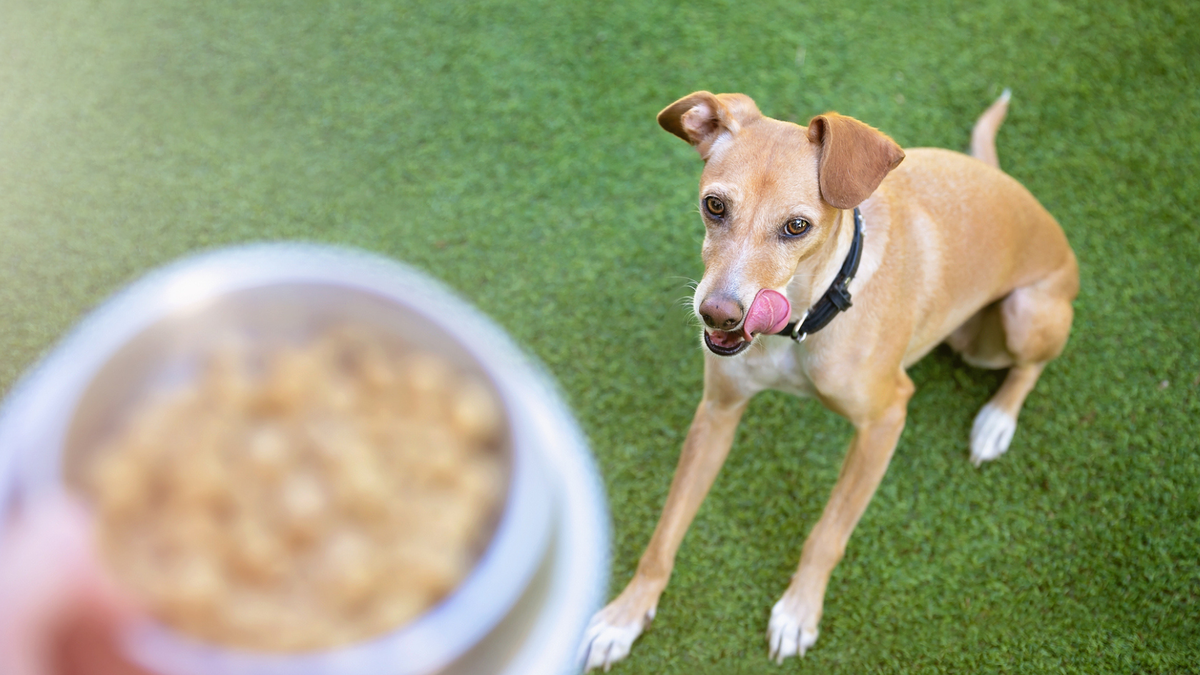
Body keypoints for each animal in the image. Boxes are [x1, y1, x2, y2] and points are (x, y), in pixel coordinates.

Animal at [578, 90, 1080, 667]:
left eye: (797, 226)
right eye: (714, 205)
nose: (718, 315)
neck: (803, 320)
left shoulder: (885, 420)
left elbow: (828, 533)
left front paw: (799, 611)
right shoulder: (717, 412)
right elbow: (665, 529)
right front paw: (625, 615)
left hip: (1020, 319)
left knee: (1029, 368)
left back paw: (996, 421)